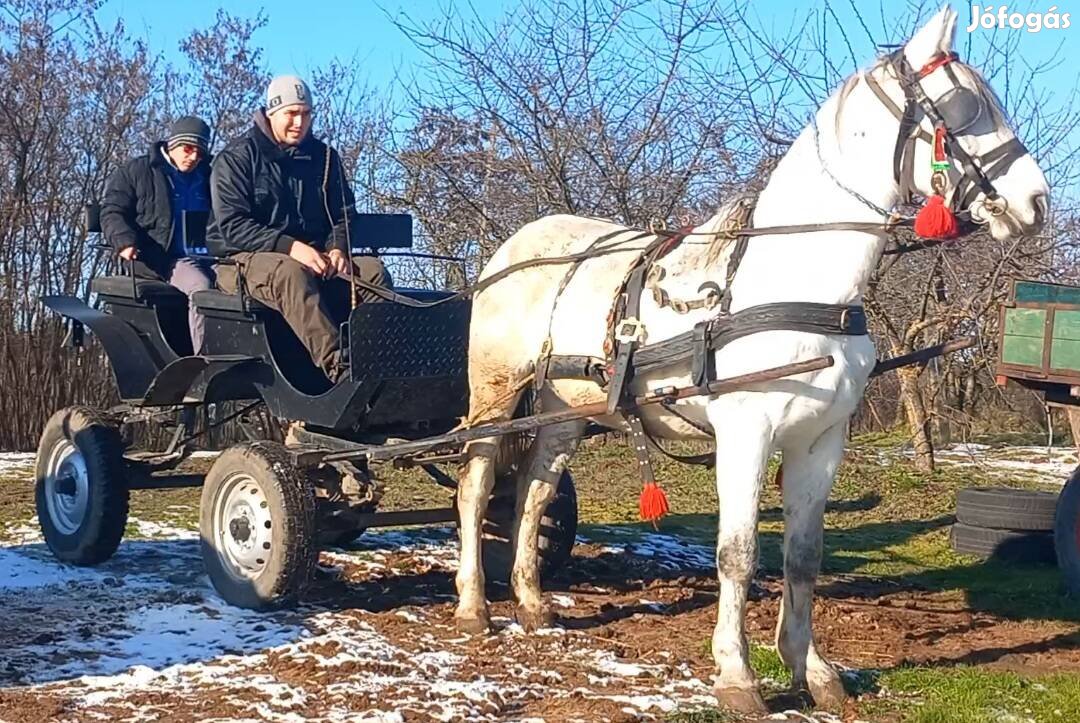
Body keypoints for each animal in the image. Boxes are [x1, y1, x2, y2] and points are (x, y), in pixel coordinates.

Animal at [449, 8, 1045, 713]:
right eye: (963, 107)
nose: (1036, 203)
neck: (801, 285)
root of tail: (512, 247)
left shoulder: (822, 440)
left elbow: (803, 555)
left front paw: (812, 670)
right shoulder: (746, 435)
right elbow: (736, 553)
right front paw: (736, 676)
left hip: (563, 410)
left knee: (535, 491)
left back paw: (534, 603)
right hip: (495, 394)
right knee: (476, 486)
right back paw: (474, 607)